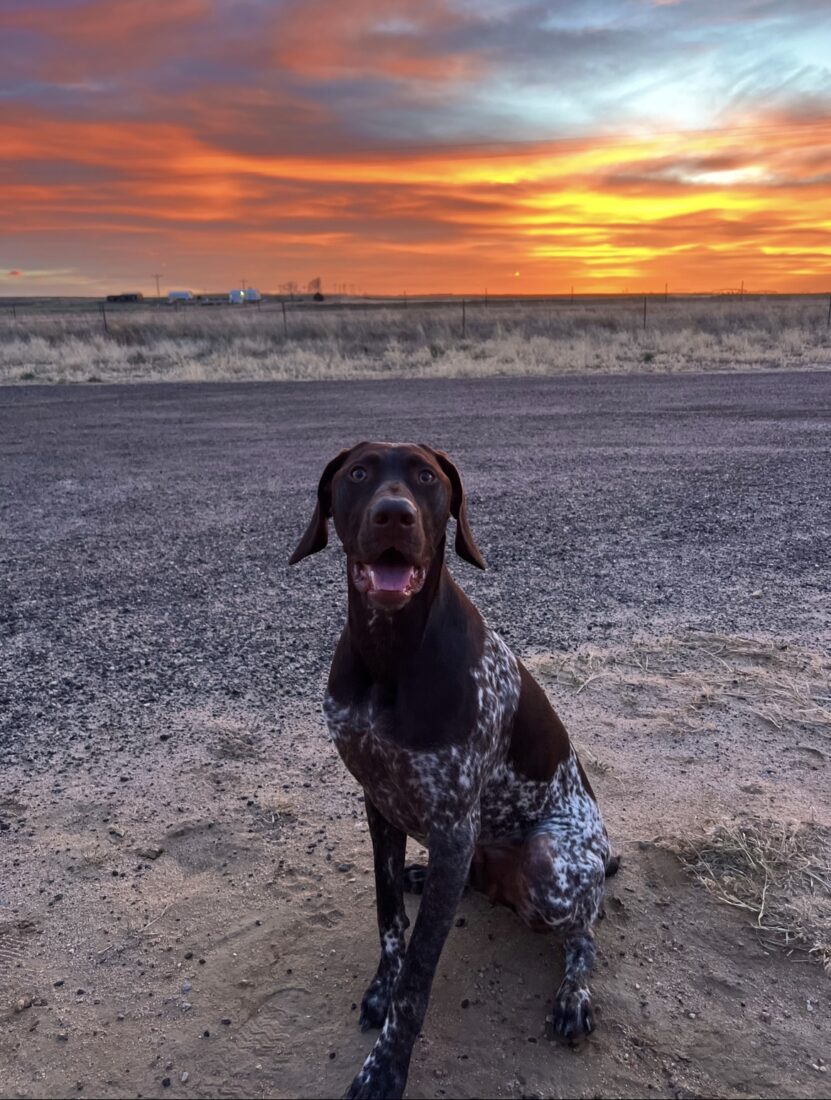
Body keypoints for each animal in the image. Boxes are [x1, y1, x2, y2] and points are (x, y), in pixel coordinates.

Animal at [288, 442, 616, 1095]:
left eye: (427, 478)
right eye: (358, 473)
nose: (394, 515)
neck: (390, 654)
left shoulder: (454, 820)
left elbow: (418, 975)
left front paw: (386, 1068)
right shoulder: (380, 803)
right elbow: (390, 920)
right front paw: (380, 988)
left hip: (552, 865)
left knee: (586, 932)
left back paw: (574, 995)